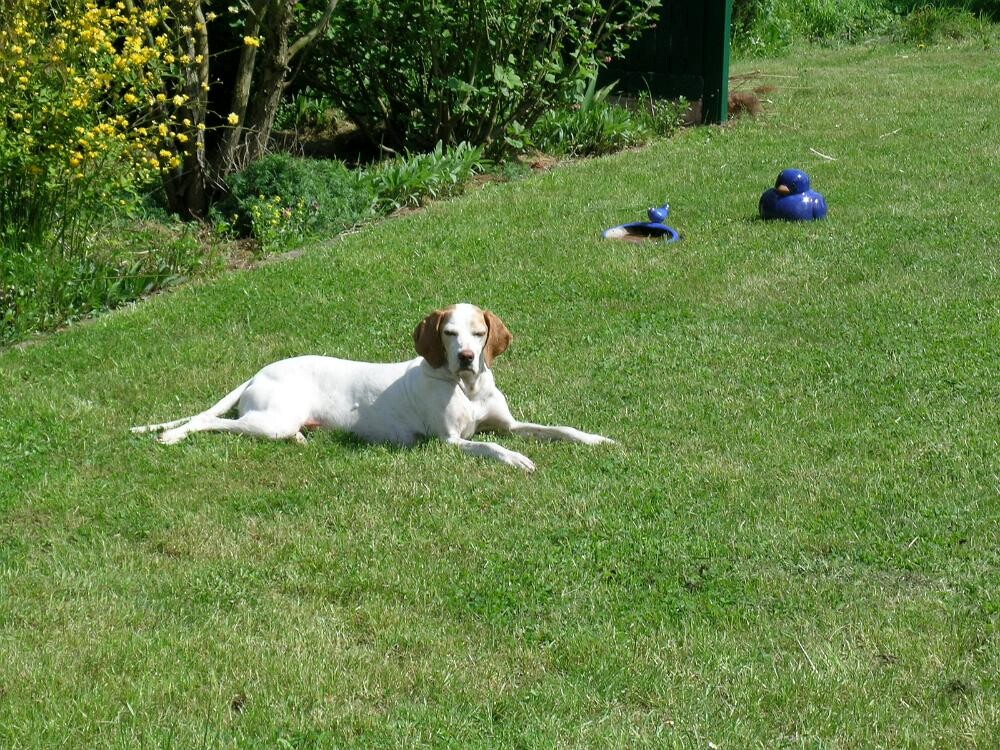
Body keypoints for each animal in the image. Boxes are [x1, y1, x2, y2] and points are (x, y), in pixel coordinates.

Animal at [132, 304, 613, 471]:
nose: (466, 357)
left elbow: (559, 429)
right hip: (269, 419)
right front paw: (516, 459)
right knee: (208, 424)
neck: (468, 388)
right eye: (449, 333)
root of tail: (258, 372)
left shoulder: (509, 424)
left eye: (478, 333)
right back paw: (173, 435)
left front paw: (597, 439)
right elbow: (491, 446)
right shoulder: (449, 442)